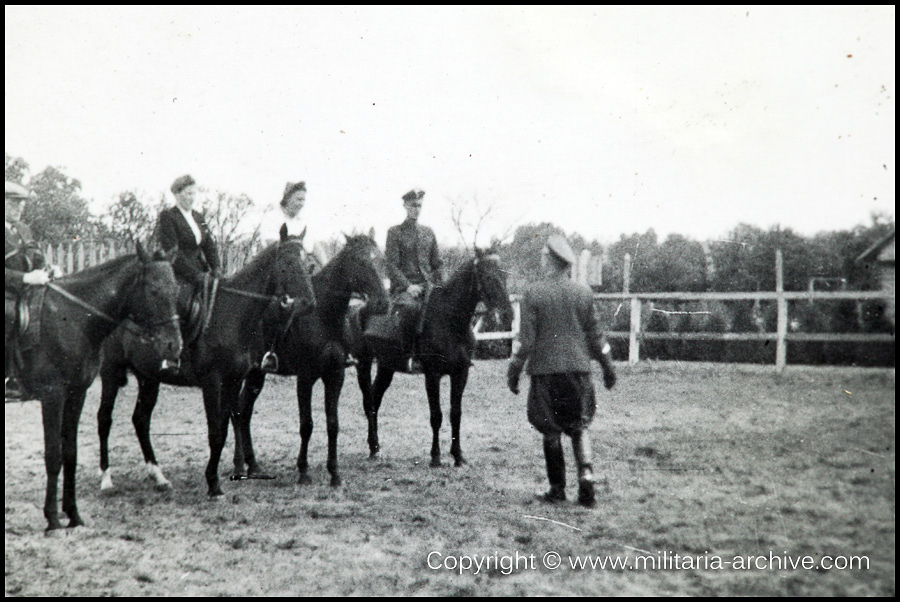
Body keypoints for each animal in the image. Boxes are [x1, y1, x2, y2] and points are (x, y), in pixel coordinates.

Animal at [9, 244, 183, 528]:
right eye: (154, 291)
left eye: (177, 290)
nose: (174, 346)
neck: (72, 318)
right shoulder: (52, 396)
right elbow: (53, 455)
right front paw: (52, 519)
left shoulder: (76, 394)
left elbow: (70, 452)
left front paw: (73, 514)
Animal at [96, 226, 316, 496]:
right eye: (286, 263)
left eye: (309, 263)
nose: (308, 303)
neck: (233, 314)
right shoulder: (212, 383)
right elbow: (215, 432)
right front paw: (213, 484)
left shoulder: (233, 381)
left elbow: (225, 427)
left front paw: (219, 476)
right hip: (111, 372)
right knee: (104, 419)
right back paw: (106, 479)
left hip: (149, 378)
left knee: (140, 419)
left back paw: (158, 476)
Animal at [234, 232, 388, 486]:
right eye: (360, 262)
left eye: (381, 259)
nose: (383, 303)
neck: (323, 317)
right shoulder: (305, 378)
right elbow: (306, 424)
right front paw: (303, 471)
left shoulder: (335, 375)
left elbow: (333, 424)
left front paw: (334, 473)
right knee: (237, 412)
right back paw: (239, 465)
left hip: (257, 375)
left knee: (243, 412)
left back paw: (252, 464)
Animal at [346, 246, 510, 466]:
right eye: (487, 276)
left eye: (504, 274)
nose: (507, 313)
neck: (449, 322)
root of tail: (356, 308)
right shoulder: (432, 375)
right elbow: (436, 416)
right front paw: (436, 457)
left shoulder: (461, 374)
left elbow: (455, 414)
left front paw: (458, 456)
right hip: (363, 364)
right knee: (368, 402)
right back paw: (373, 448)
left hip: (386, 366)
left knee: (375, 399)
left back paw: (376, 448)